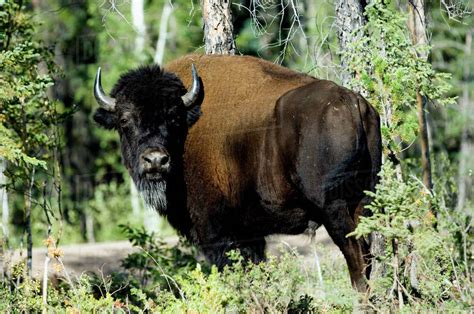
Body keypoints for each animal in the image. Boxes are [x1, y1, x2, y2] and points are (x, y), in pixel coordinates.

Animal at [91, 53, 382, 290]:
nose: (155, 160)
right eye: (124, 120)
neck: (188, 126)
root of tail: (353, 103)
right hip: (364, 200)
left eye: (172, 117)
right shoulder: (249, 234)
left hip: (333, 208)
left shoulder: (213, 229)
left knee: (355, 256)